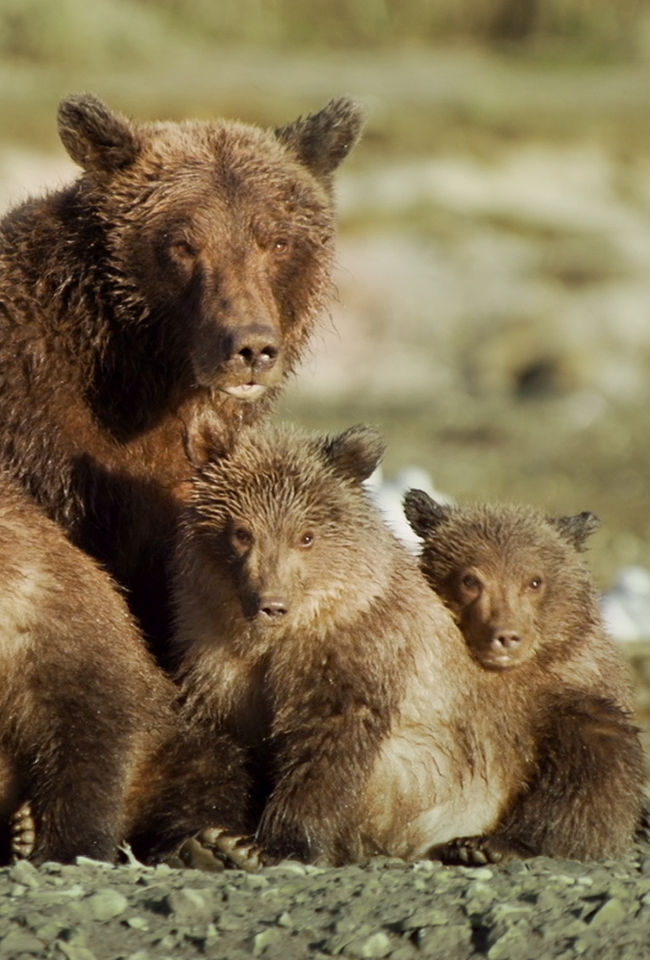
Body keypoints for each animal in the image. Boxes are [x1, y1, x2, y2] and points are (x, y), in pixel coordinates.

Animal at [171, 424, 588, 868]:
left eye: (306, 536)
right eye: (241, 532)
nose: (272, 604)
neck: (276, 641)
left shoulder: (359, 652)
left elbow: (328, 749)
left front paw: (266, 845)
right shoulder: (216, 660)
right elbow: (220, 745)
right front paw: (210, 839)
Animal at [400, 496, 644, 864]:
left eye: (534, 581)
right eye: (470, 579)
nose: (506, 635)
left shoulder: (569, 698)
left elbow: (592, 775)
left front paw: (489, 845)